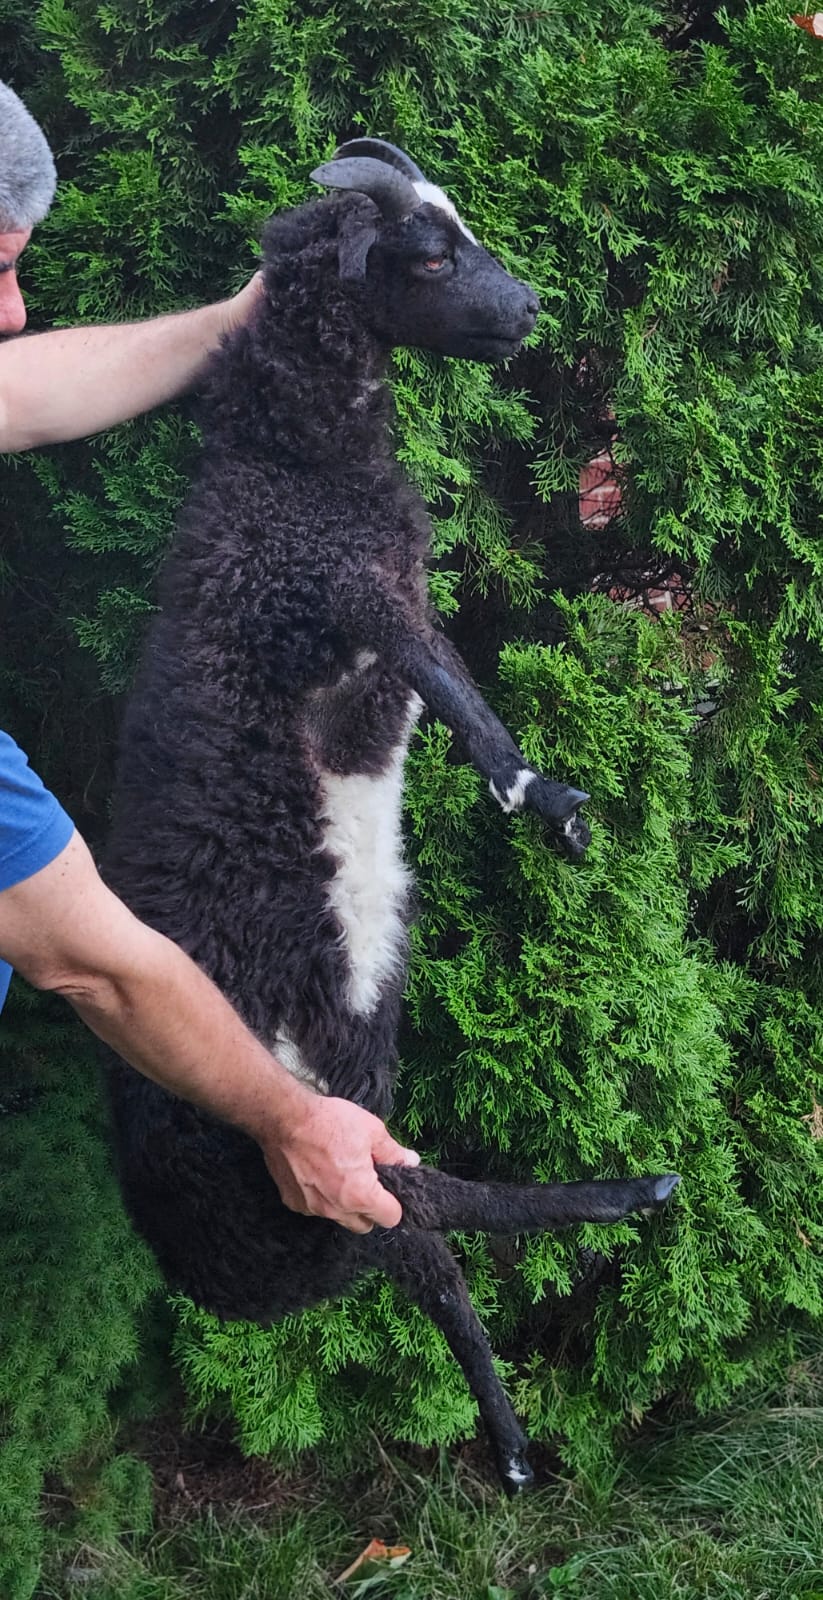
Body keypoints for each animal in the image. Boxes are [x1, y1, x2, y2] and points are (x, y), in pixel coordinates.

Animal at [103, 138, 679, 1495]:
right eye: (423, 253)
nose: (530, 309)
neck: (295, 467)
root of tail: (215, 1275)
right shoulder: (329, 592)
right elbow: (448, 680)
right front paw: (541, 797)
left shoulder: (380, 591)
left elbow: (445, 664)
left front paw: (541, 798)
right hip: (305, 1164)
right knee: (447, 1208)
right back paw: (630, 1194)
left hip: (343, 1160)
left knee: (434, 1265)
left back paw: (513, 1441)